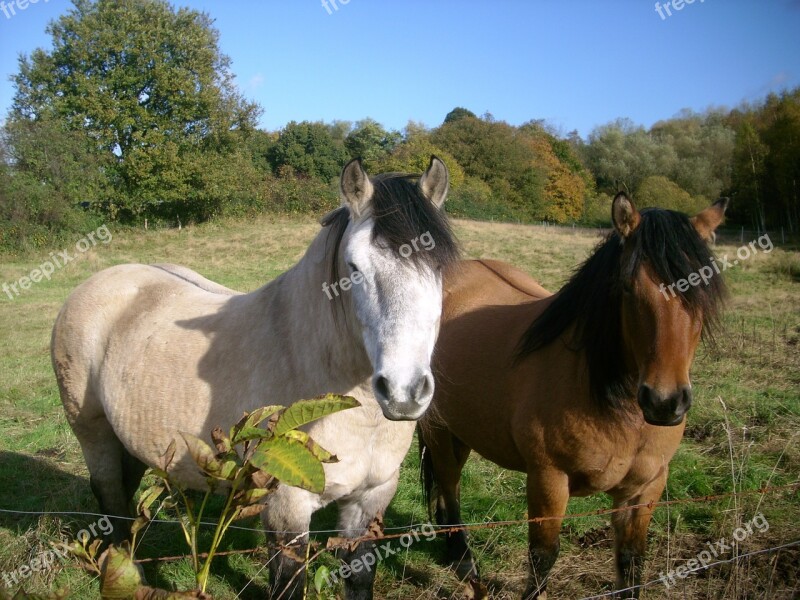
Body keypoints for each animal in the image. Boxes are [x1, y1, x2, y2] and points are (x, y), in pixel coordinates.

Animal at [51, 157, 456, 596]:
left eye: (440, 268)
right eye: (354, 268)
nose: (403, 391)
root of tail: (101, 281)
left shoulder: (370, 501)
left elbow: (360, 577)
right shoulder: (285, 509)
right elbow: (289, 582)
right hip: (93, 434)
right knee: (111, 499)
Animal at [422, 195, 728, 596]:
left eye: (704, 285)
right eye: (626, 287)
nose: (664, 402)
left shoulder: (645, 489)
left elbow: (631, 564)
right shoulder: (548, 479)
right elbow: (543, 557)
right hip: (439, 431)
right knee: (450, 486)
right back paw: (464, 563)